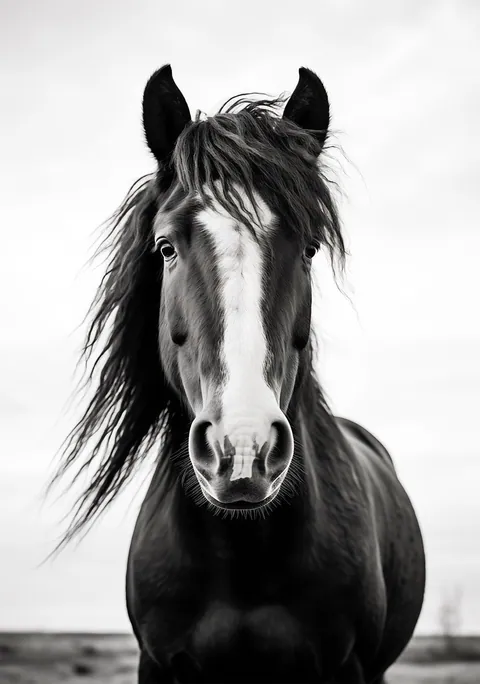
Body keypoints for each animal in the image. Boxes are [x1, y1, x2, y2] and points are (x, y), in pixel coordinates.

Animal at [55, 65, 425, 683]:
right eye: (165, 247)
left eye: (310, 248)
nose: (243, 449)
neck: (242, 560)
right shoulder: (155, 663)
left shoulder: (349, 665)